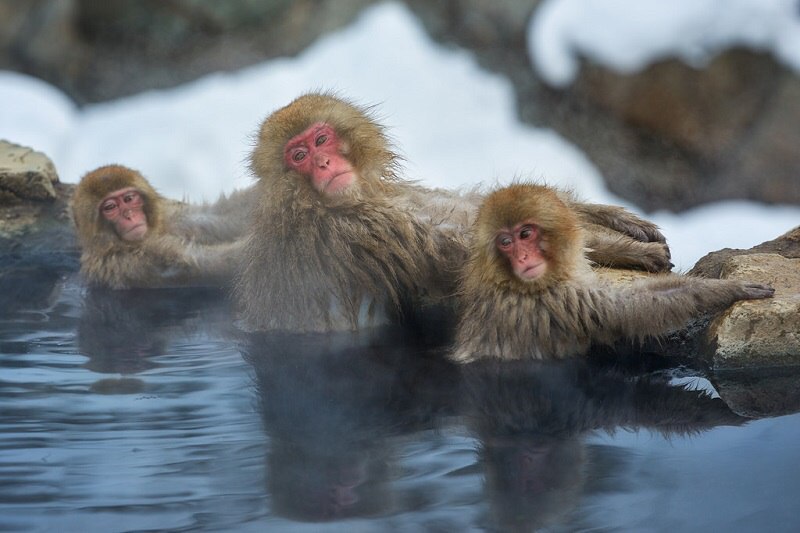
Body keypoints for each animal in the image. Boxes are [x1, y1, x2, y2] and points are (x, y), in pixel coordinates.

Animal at [72, 166, 247, 290]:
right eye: (110, 207)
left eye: (129, 198)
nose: (129, 215)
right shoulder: (122, 261)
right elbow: (195, 262)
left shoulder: (167, 221)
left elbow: (210, 218)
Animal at [239, 93, 676, 330]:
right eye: (298, 156)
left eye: (321, 140)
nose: (324, 164)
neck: (310, 204)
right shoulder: (357, 228)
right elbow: (472, 251)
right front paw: (628, 250)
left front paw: (610, 218)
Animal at [446, 183, 772, 362]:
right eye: (505, 242)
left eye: (525, 234)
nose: (523, 257)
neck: (509, 280)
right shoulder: (554, 299)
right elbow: (629, 309)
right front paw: (731, 289)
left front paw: (636, 245)